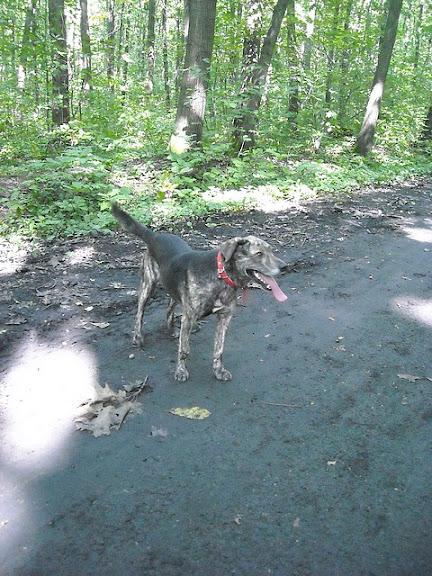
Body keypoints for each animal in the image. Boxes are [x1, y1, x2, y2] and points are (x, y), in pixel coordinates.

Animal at [111, 203, 287, 381]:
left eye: (271, 251)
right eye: (258, 254)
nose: (284, 266)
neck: (221, 275)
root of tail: (154, 235)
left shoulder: (224, 317)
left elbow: (219, 348)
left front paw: (218, 370)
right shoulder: (189, 318)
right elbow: (184, 349)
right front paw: (180, 371)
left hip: (172, 287)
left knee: (169, 306)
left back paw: (172, 330)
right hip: (148, 285)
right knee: (139, 313)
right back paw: (138, 337)